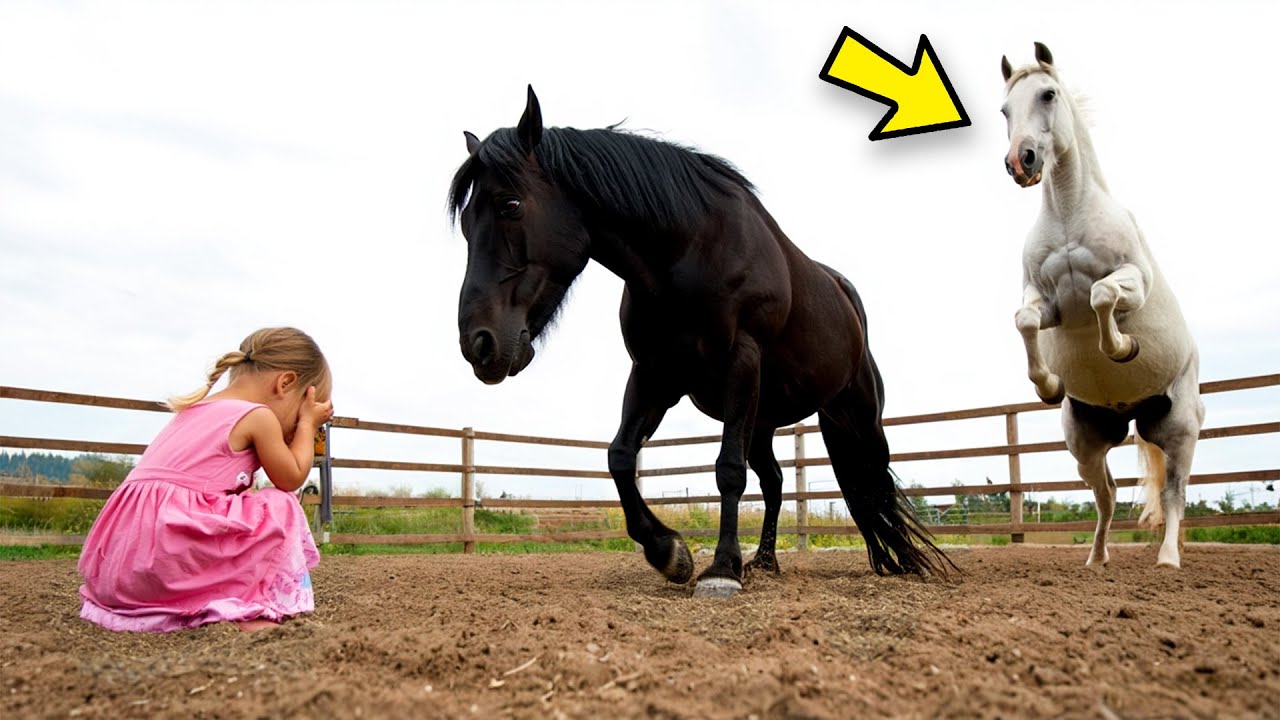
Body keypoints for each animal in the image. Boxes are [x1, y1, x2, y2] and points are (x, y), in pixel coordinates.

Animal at [450, 86, 952, 597]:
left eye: (511, 205)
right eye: (467, 222)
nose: (478, 344)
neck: (691, 253)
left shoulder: (739, 363)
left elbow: (727, 469)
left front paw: (721, 568)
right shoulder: (654, 374)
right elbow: (620, 456)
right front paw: (669, 552)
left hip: (856, 411)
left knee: (875, 480)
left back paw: (902, 560)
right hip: (762, 420)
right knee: (775, 481)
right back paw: (765, 560)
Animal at [1001, 44, 1204, 568]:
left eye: (1048, 94)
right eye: (1006, 109)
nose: (1020, 161)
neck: (1069, 216)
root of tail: (1130, 412)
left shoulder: (1133, 280)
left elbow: (1103, 296)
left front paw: (1123, 347)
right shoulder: (1044, 302)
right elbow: (1025, 320)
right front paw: (1049, 384)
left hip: (1179, 430)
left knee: (1173, 493)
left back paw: (1168, 558)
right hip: (1086, 442)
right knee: (1106, 495)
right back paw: (1096, 559)